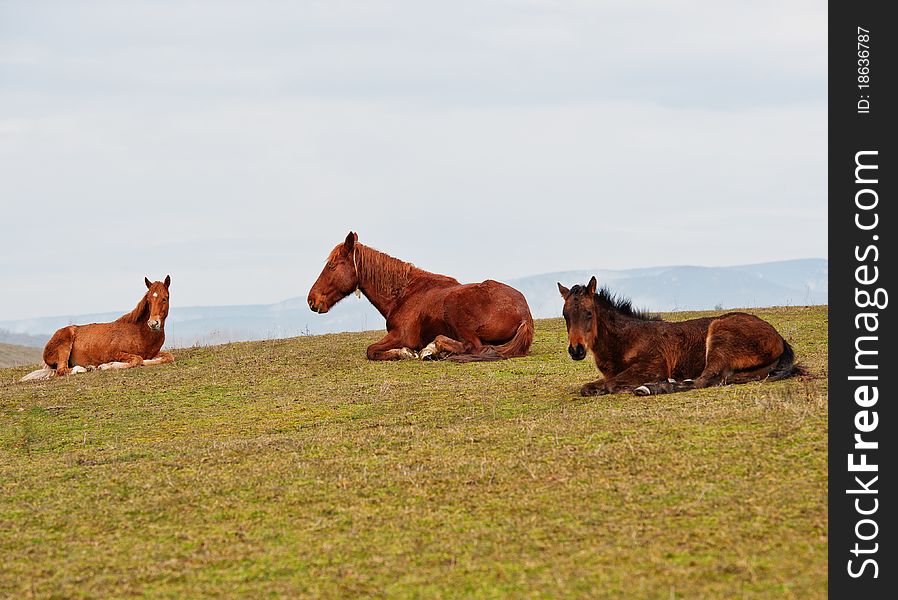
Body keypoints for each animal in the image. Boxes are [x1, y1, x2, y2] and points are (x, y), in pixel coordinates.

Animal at [19, 276, 175, 382]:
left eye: (165, 298)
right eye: (148, 300)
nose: (153, 323)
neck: (140, 333)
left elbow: (167, 357)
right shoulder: (115, 352)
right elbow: (137, 359)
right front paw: (106, 365)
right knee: (61, 370)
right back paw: (85, 368)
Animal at [308, 231, 532, 360]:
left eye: (331, 265)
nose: (312, 300)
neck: (403, 294)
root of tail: (525, 315)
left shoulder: (401, 335)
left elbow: (371, 350)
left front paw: (406, 352)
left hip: (454, 309)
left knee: (473, 347)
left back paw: (431, 350)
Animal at [556, 276, 800, 398]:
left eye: (589, 313)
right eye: (565, 314)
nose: (576, 350)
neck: (625, 340)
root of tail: (779, 339)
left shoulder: (653, 366)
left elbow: (605, 385)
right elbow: (596, 384)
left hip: (720, 337)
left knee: (705, 380)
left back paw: (651, 388)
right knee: (717, 380)